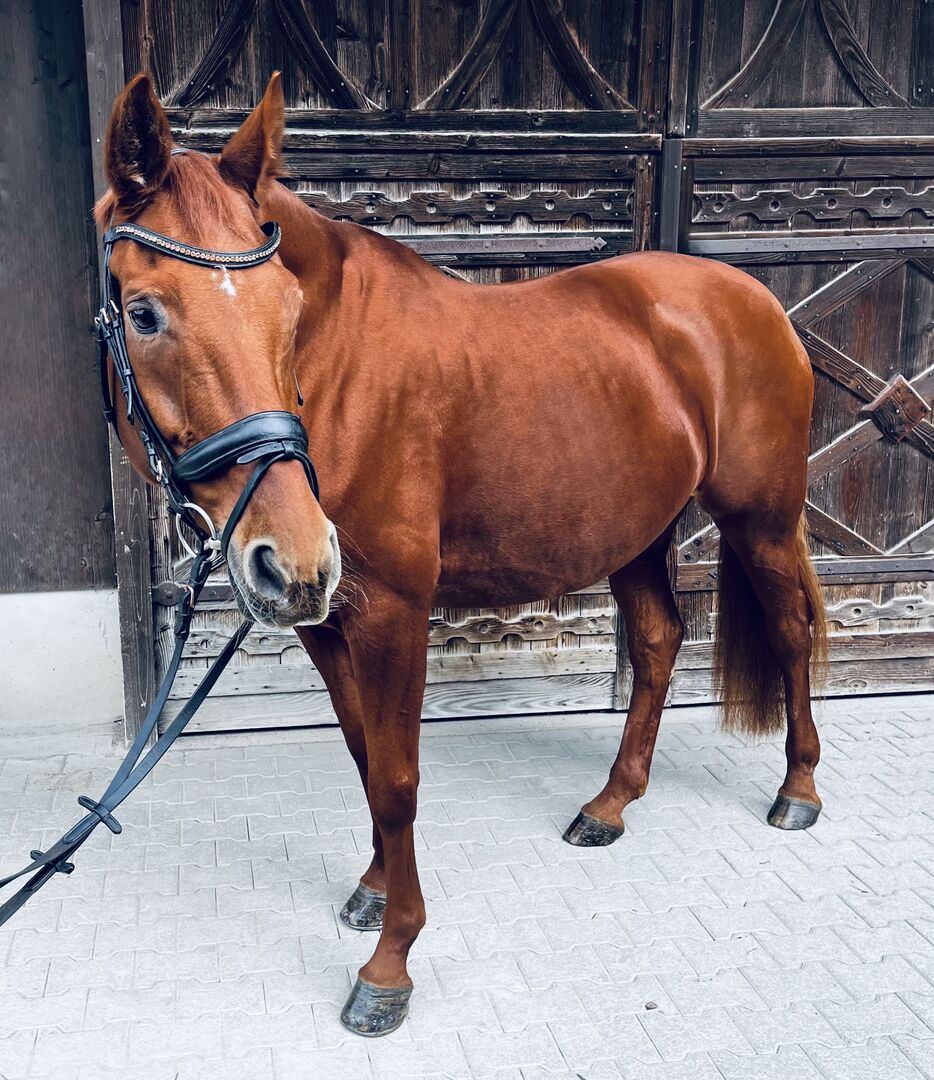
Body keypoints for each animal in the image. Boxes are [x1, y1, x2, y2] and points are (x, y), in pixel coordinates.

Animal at [97, 72, 827, 1037]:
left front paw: (390, 963)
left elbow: (399, 779)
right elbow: (364, 759)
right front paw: (373, 889)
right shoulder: (327, 623)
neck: (342, 375)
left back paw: (799, 792)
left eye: (288, 313)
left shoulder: (396, 613)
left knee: (790, 635)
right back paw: (610, 805)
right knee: (661, 643)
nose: (293, 555)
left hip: (761, 521)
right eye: (143, 313)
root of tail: (753, 300)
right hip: (636, 534)